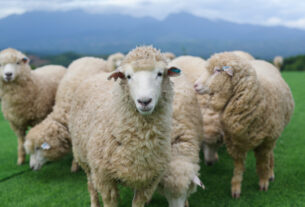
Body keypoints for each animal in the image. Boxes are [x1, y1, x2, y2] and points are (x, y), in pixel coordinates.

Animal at [68, 46, 201, 207]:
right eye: (128, 76)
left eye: (160, 73)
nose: (144, 101)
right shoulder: (104, 179)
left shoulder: (149, 180)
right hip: (83, 158)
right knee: (91, 185)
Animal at [194, 51, 294, 197]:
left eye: (217, 70)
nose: (195, 85)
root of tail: (261, 61)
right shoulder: (234, 142)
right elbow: (238, 167)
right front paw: (236, 189)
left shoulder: (265, 141)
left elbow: (262, 163)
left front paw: (264, 182)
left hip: (273, 135)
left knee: (270, 154)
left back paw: (270, 173)